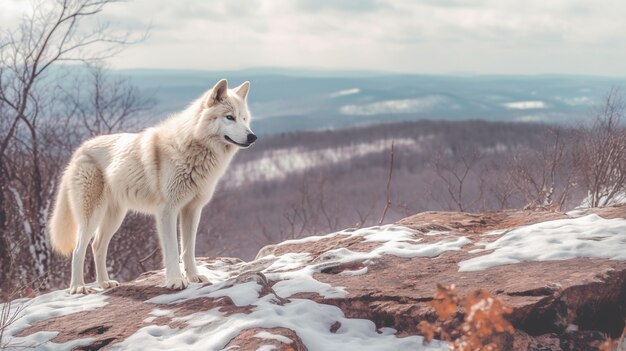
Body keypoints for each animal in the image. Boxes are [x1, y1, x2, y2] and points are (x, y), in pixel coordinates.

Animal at [47, 79, 255, 294]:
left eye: (244, 118)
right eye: (229, 117)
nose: (252, 137)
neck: (193, 147)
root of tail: (79, 150)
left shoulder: (192, 210)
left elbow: (188, 249)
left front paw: (194, 277)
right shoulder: (167, 211)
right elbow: (172, 250)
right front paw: (175, 281)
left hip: (115, 218)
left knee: (97, 246)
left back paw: (105, 283)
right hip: (92, 217)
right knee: (78, 249)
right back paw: (78, 287)